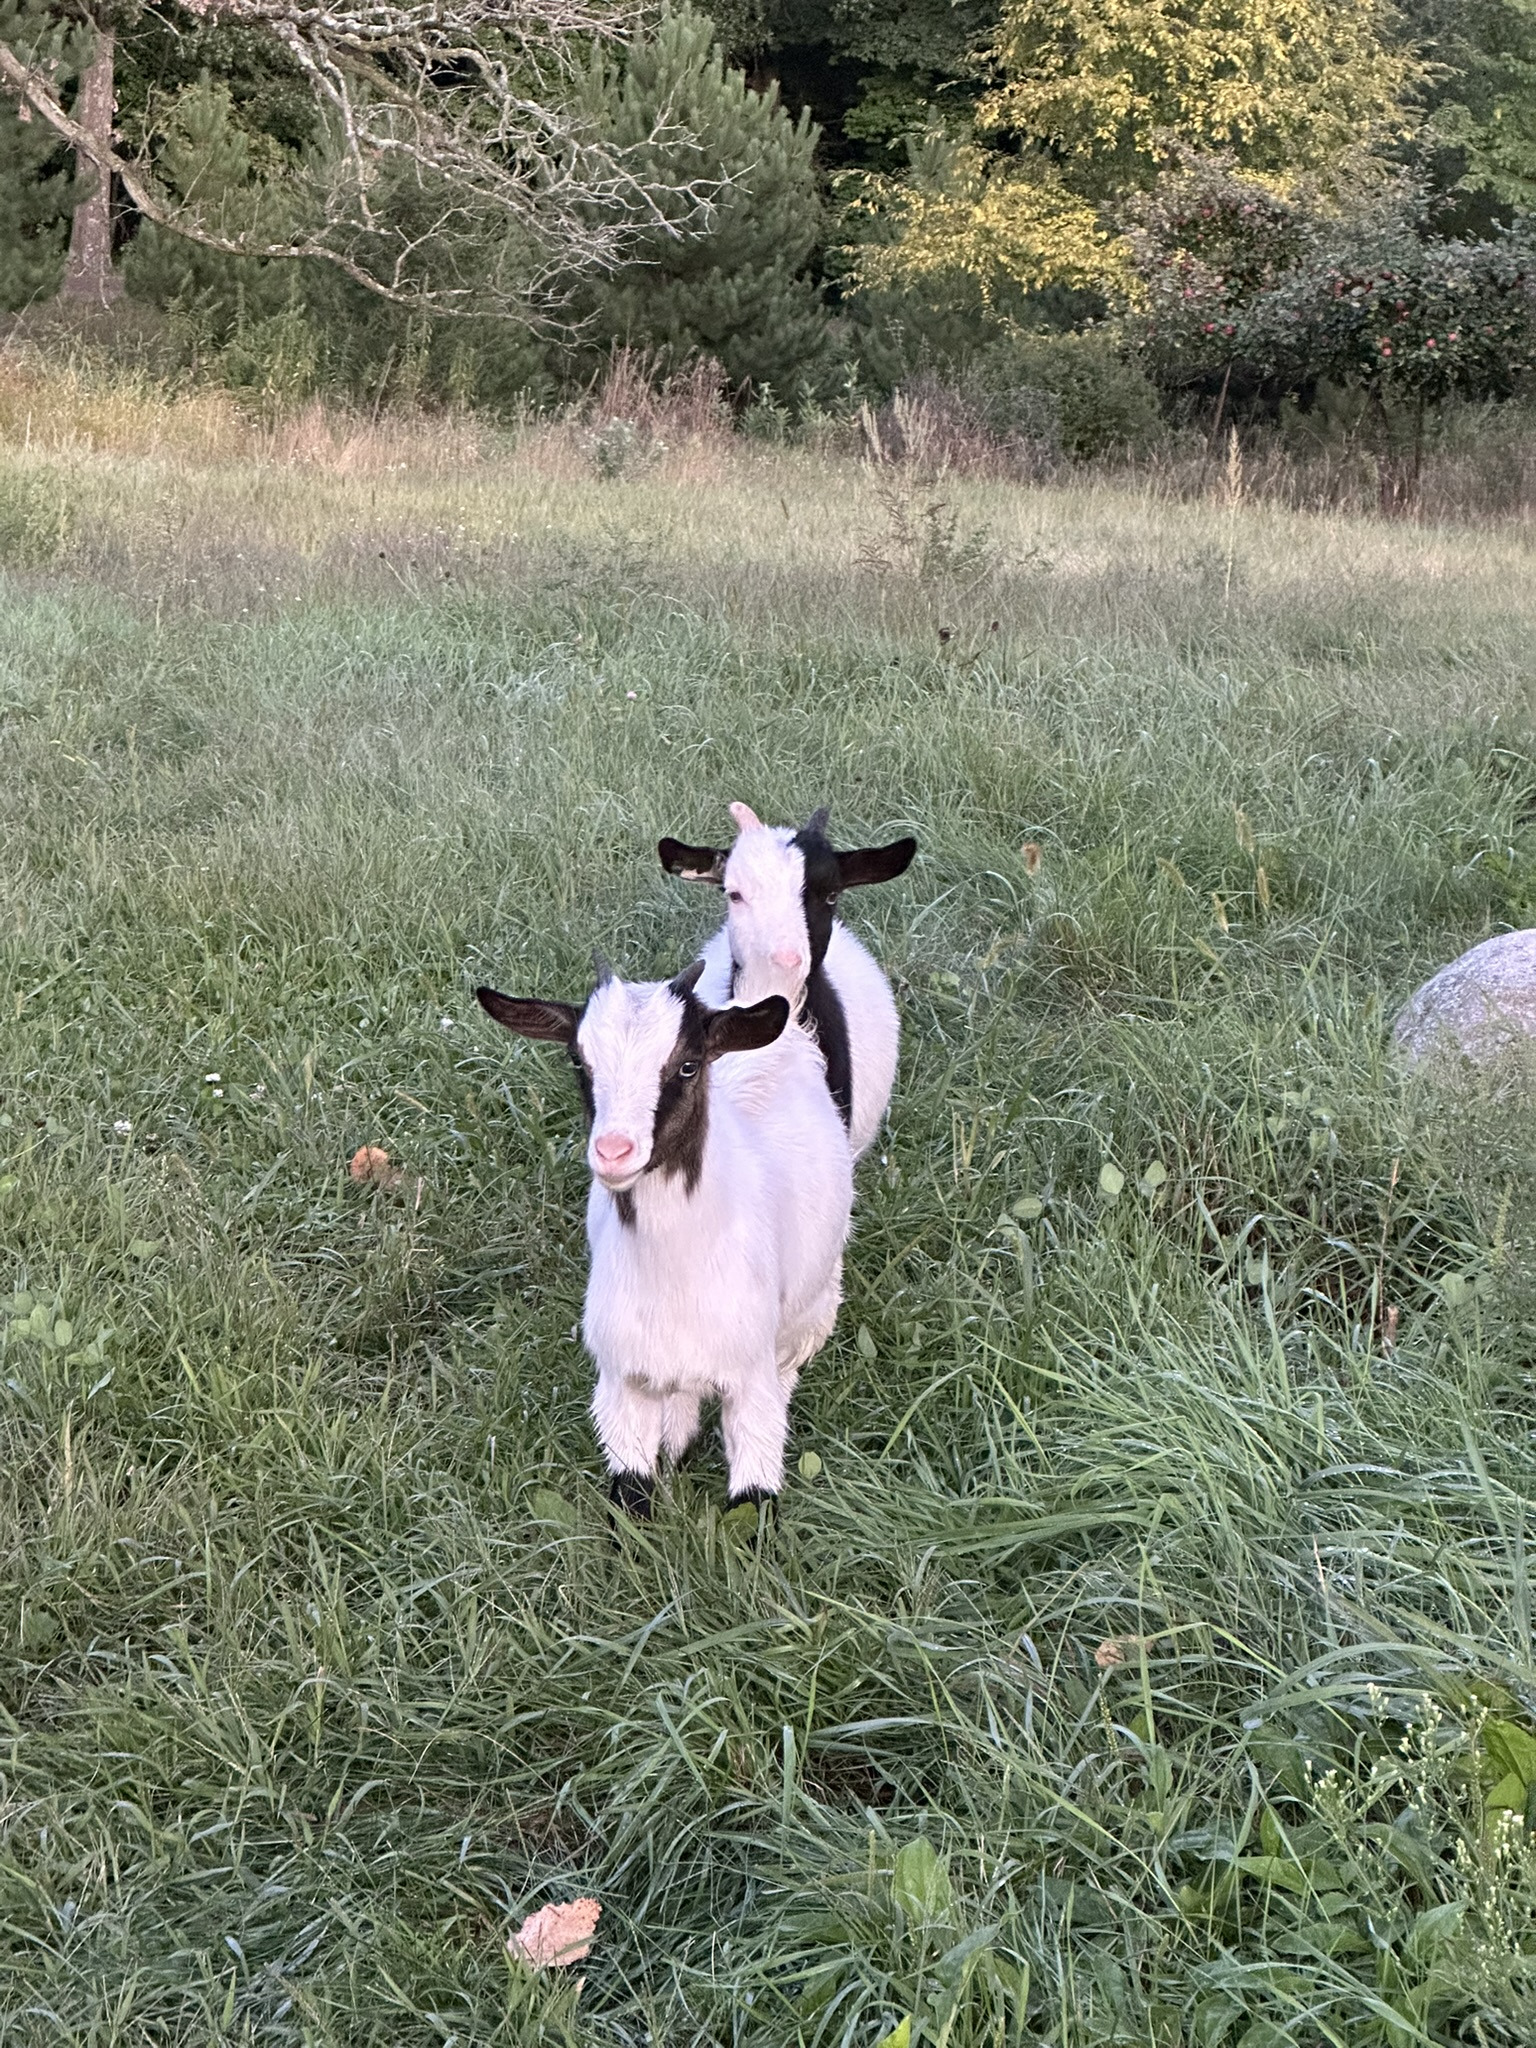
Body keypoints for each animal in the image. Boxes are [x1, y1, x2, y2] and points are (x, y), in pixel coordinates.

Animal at [477, 958, 853, 1517]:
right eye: (578, 1062)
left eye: (688, 1066)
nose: (613, 1151)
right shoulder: (622, 1377)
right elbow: (631, 1493)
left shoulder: (750, 1376)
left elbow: (754, 1499)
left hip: (814, 1305)